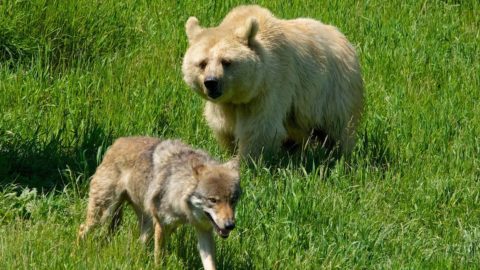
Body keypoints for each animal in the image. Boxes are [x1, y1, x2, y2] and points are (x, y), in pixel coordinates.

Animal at [77, 137, 242, 270]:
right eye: (213, 200)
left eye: (233, 200)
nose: (230, 225)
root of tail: (116, 143)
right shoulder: (163, 225)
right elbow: (159, 259)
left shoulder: (204, 231)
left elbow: (210, 264)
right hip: (102, 214)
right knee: (81, 229)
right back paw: (76, 253)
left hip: (147, 224)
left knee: (139, 244)